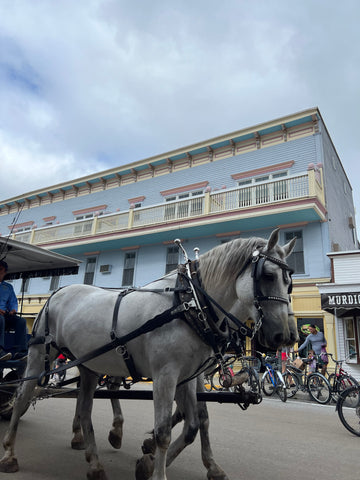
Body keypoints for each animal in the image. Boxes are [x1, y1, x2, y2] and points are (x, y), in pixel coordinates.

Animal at [1, 229, 296, 480]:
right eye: (268, 276)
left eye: (289, 283)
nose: (285, 335)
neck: (190, 304)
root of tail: (58, 292)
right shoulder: (166, 375)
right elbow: (165, 430)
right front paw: (155, 463)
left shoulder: (189, 376)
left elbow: (195, 423)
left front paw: (149, 461)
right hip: (40, 356)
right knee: (23, 396)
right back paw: (10, 453)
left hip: (89, 364)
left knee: (84, 409)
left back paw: (94, 462)